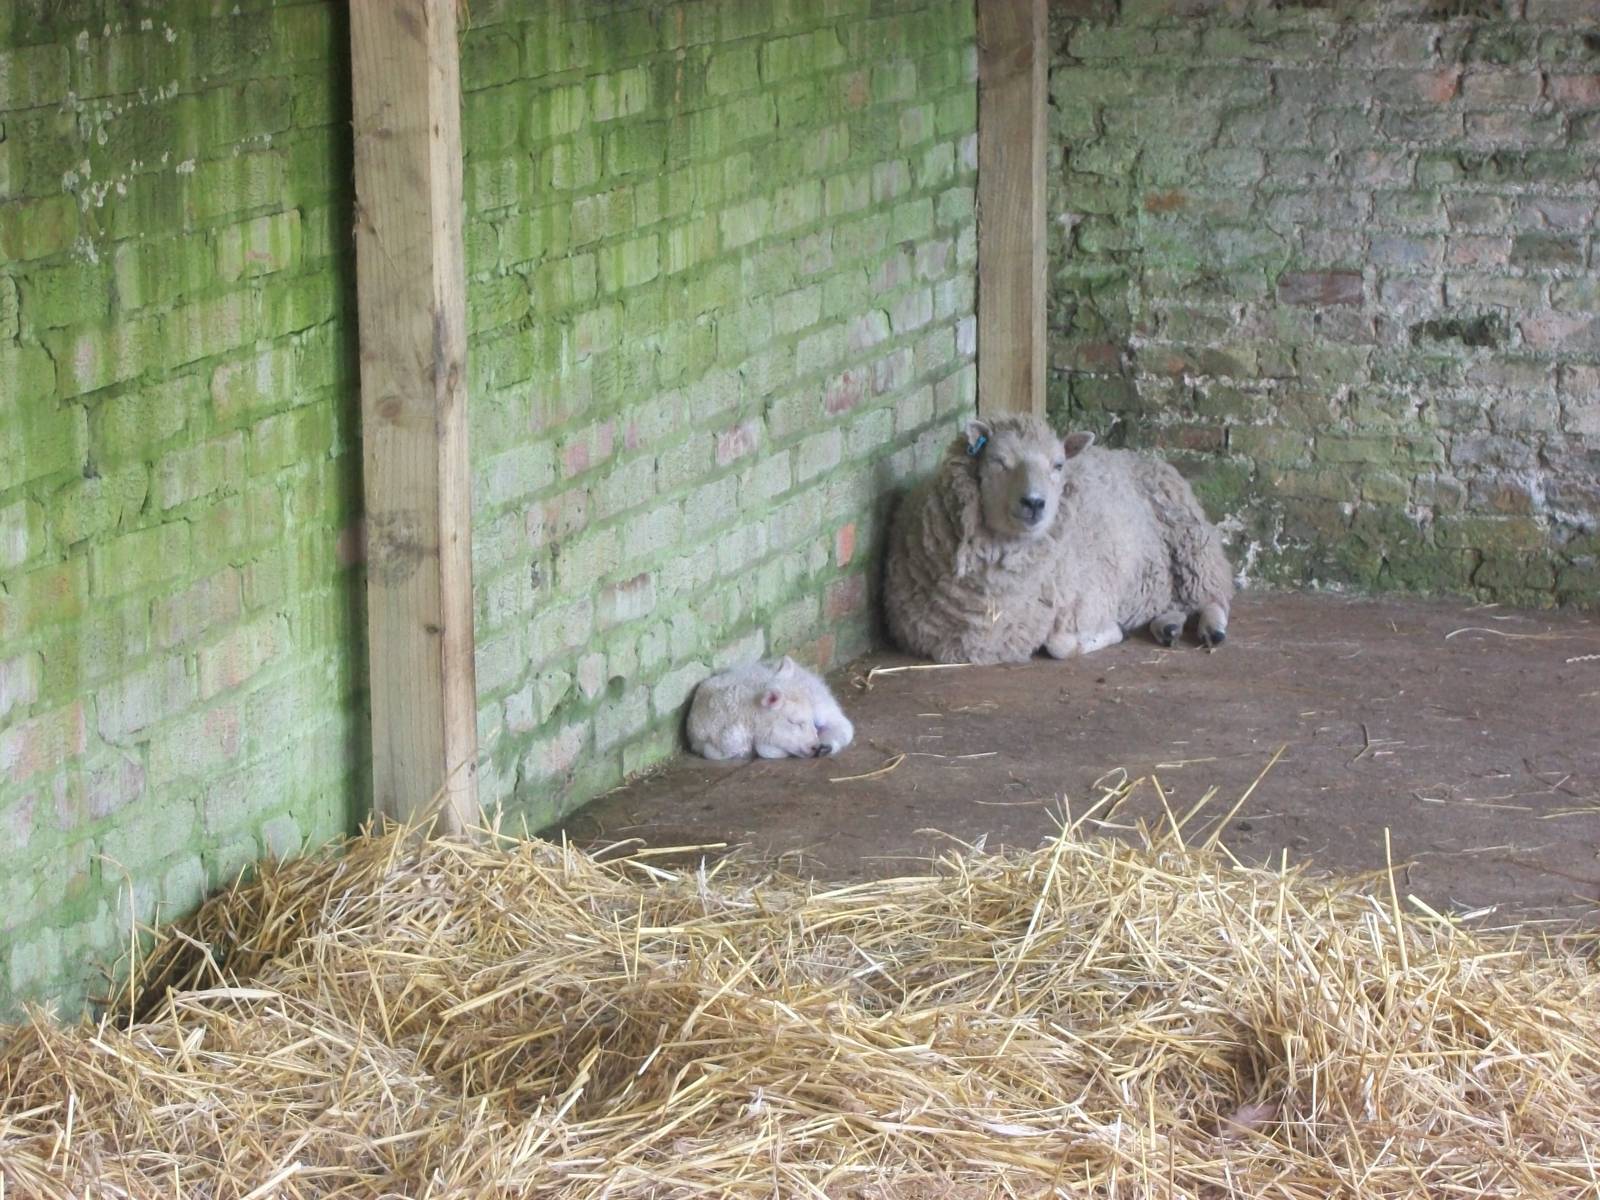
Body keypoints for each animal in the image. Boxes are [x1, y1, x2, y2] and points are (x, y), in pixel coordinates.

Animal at [883, 414, 1233, 665]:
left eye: (1058, 464)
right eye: (998, 461)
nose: (1034, 503)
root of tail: (1135, 455)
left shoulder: (1092, 598)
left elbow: (1060, 646)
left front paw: (1110, 633)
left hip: (1193, 546)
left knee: (1213, 596)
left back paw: (1211, 628)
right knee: (1176, 602)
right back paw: (1168, 626)